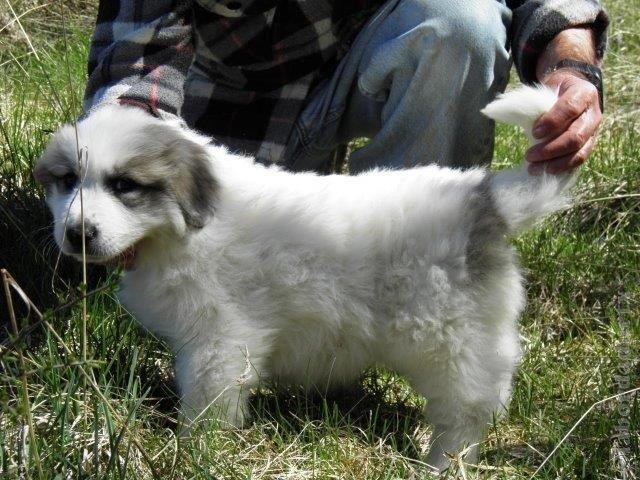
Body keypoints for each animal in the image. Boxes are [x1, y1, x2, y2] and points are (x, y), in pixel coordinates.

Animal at [36, 85, 568, 468]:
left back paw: (442, 463)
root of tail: (484, 200)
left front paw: (193, 447)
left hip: (453, 339)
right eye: (66, 181)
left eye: (124, 185)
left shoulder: (222, 337)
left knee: (466, 411)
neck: (181, 229)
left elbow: (208, 397)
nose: (77, 233)